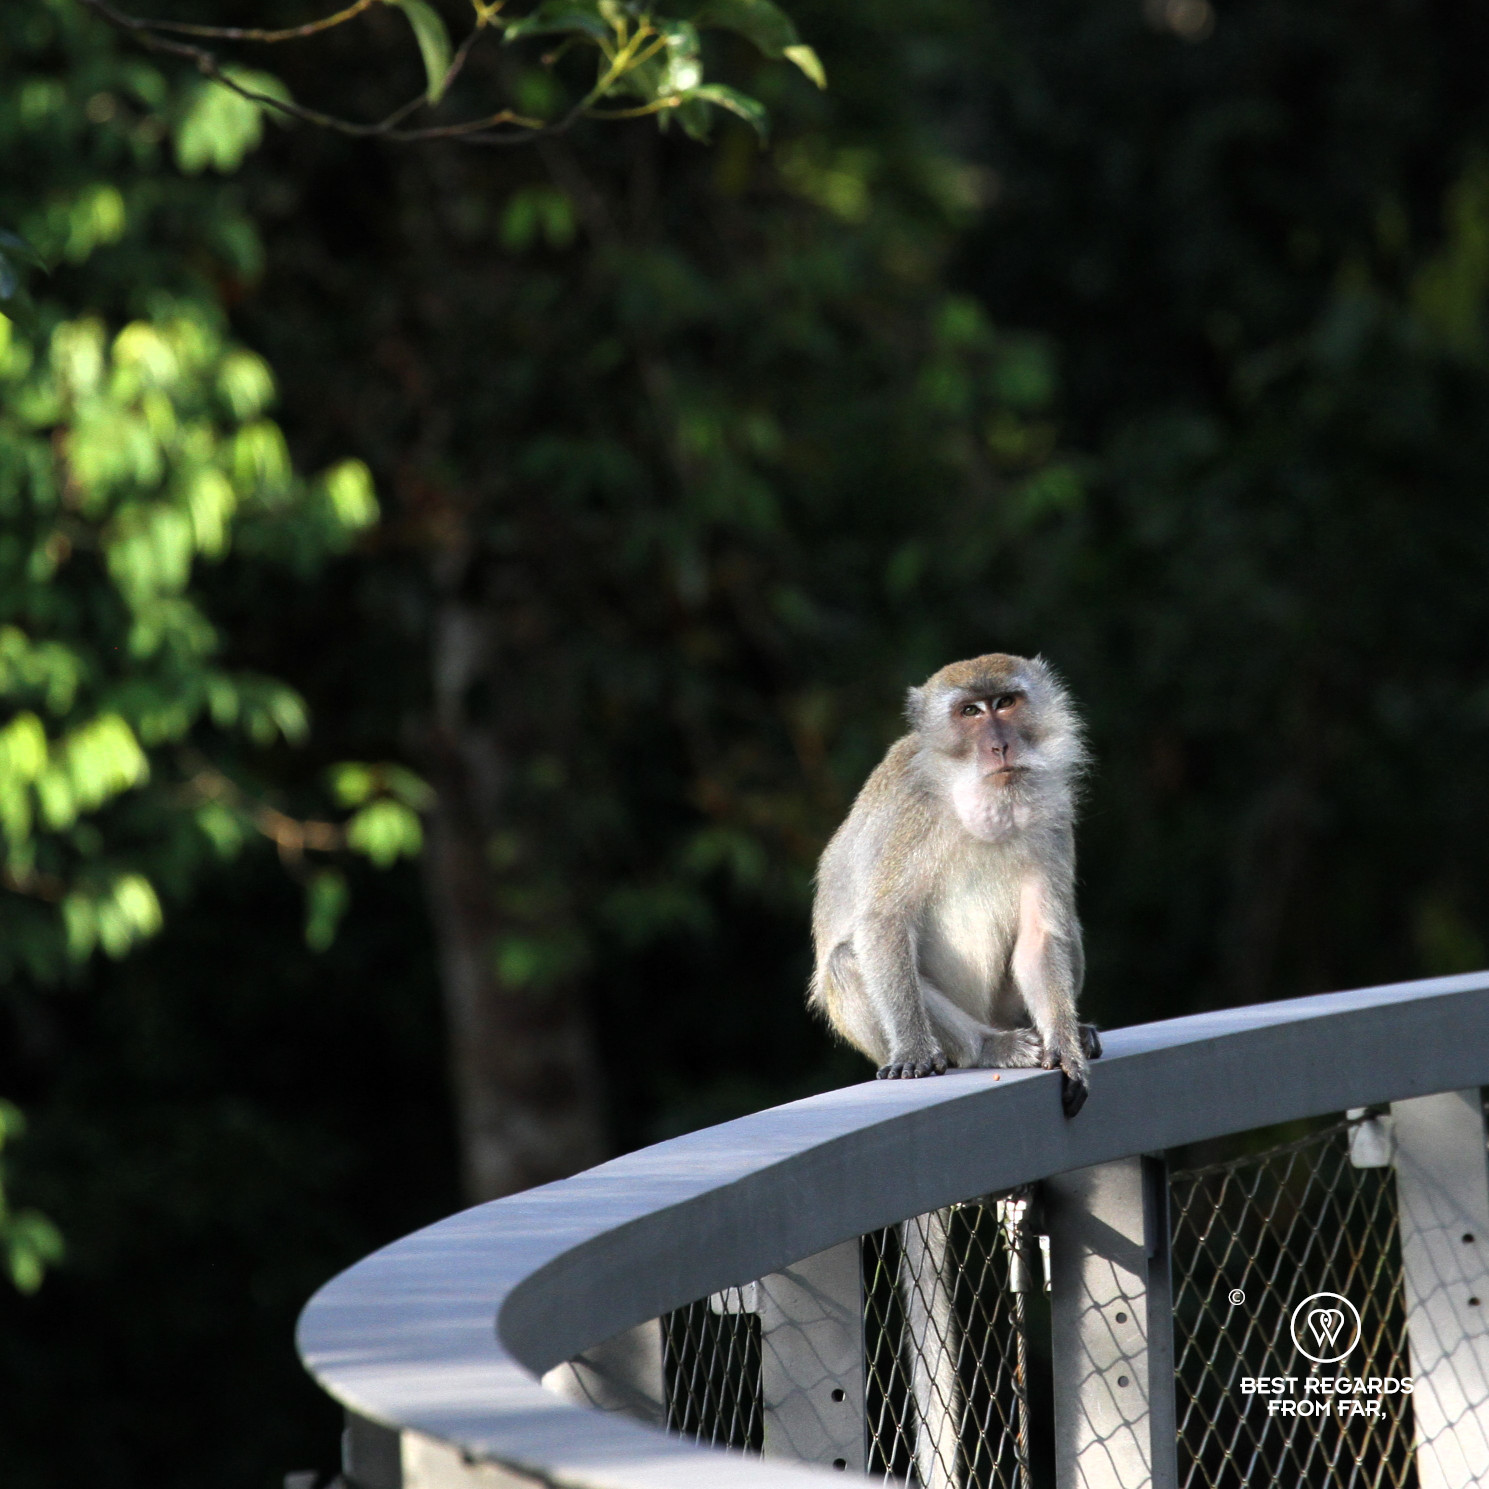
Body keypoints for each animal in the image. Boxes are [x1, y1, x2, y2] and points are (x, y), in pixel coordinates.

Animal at [809, 652, 1099, 1118]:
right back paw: (990, 1046)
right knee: (845, 963)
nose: (1000, 746)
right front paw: (914, 1049)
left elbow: (1039, 936)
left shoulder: (1052, 817)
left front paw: (1065, 1046)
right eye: (970, 712)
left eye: (1005, 702)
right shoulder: (913, 812)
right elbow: (884, 923)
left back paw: (1073, 1031)